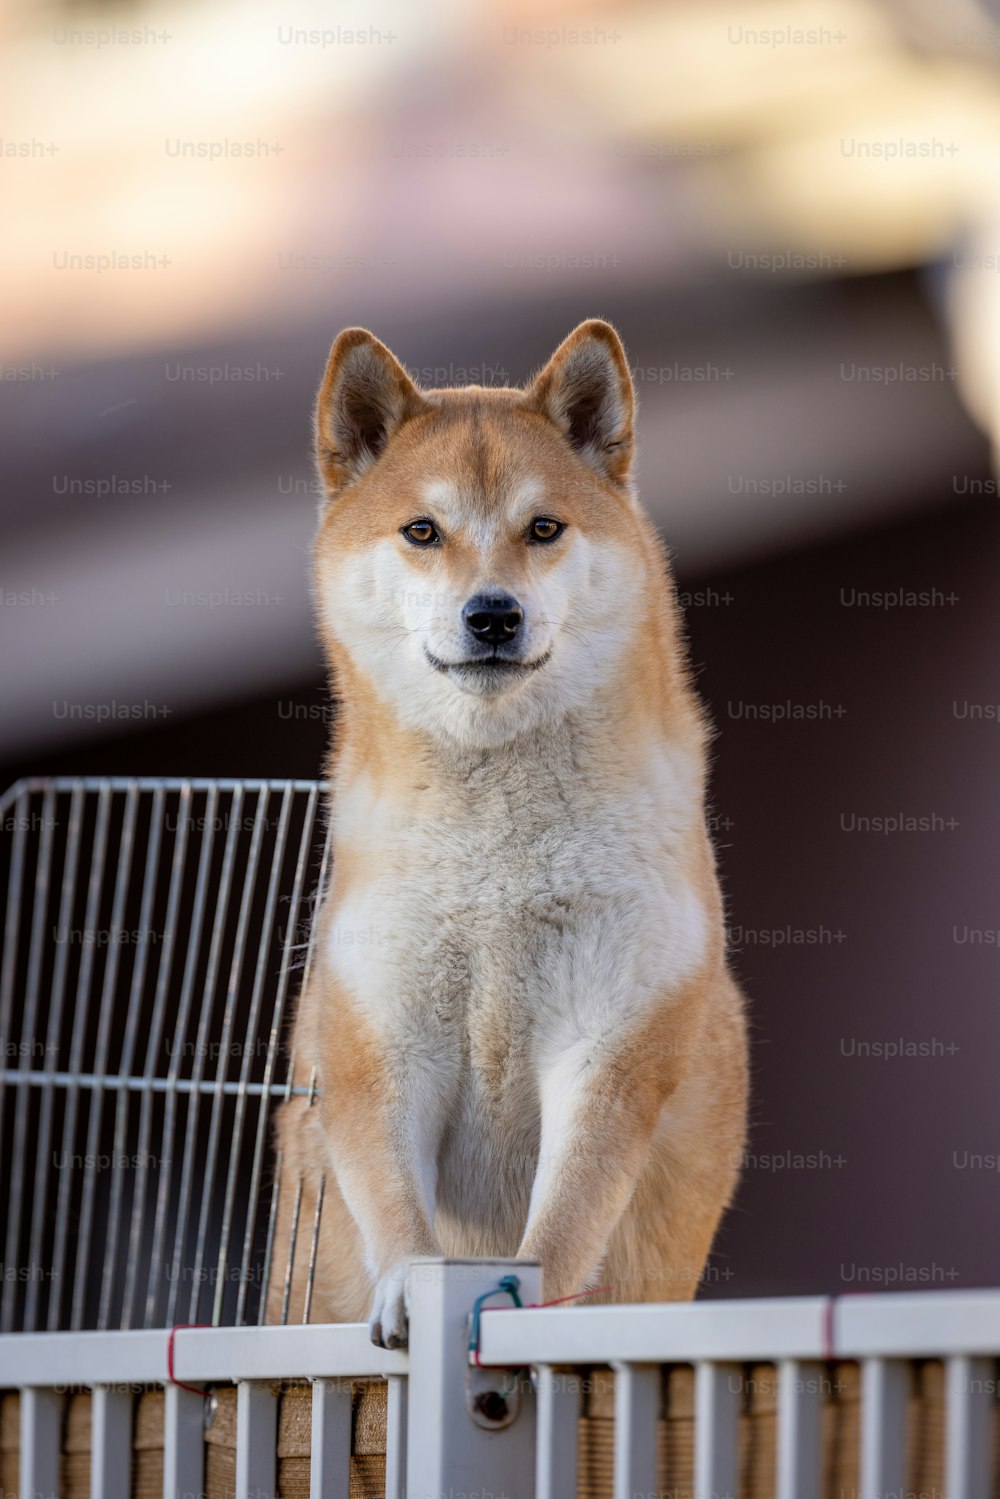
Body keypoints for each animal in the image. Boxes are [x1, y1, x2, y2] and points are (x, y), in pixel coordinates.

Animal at [269, 319, 746, 1349]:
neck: (496, 864)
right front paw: (409, 1293)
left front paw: (529, 1297)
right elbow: (397, 1211)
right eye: (422, 530)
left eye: (543, 528)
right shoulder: (380, 1039)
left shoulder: (611, 1040)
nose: (492, 613)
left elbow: (564, 1220)